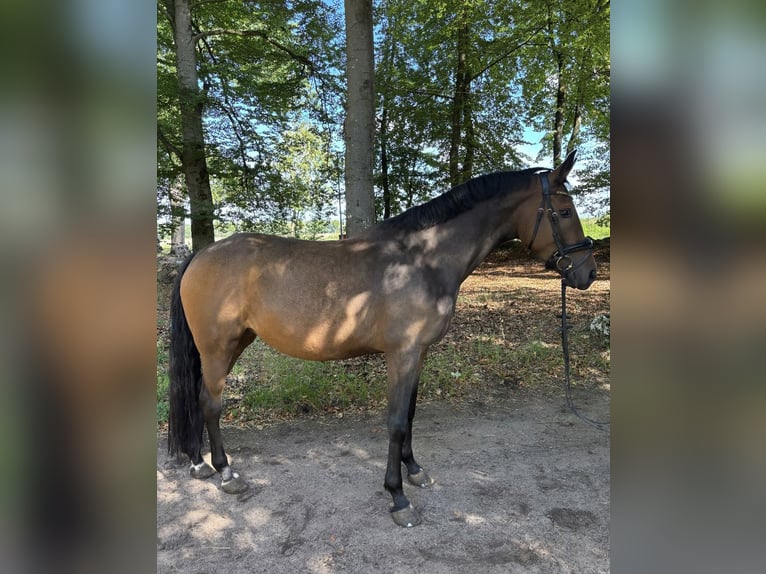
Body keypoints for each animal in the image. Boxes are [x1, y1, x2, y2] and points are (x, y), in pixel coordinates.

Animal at [167, 150, 597, 527]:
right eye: (563, 211)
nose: (587, 273)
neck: (423, 260)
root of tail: (201, 255)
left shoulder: (419, 354)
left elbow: (410, 415)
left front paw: (415, 471)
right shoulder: (401, 354)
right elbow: (395, 422)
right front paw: (398, 497)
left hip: (233, 344)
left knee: (198, 399)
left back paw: (199, 463)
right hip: (217, 348)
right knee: (210, 404)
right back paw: (226, 473)